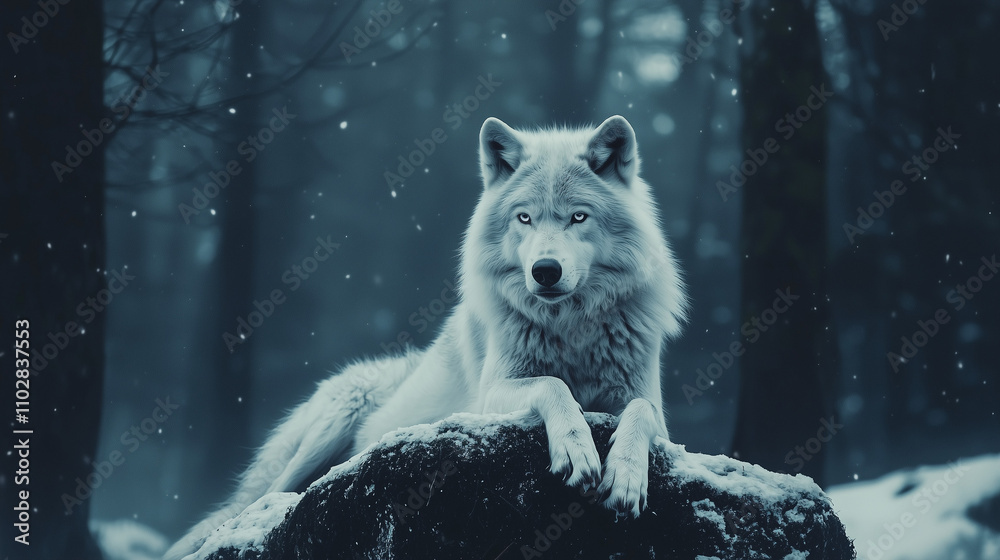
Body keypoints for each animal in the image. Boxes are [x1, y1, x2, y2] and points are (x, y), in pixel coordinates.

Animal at [165, 115, 687, 560]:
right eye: (524, 218)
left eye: (579, 217)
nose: (545, 270)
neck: (570, 328)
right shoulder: (490, 396)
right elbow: (555, 386)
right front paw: (577, 449)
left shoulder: (652, 410)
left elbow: (640, 414)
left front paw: (626, 476)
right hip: (333, 420)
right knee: (258, 502)